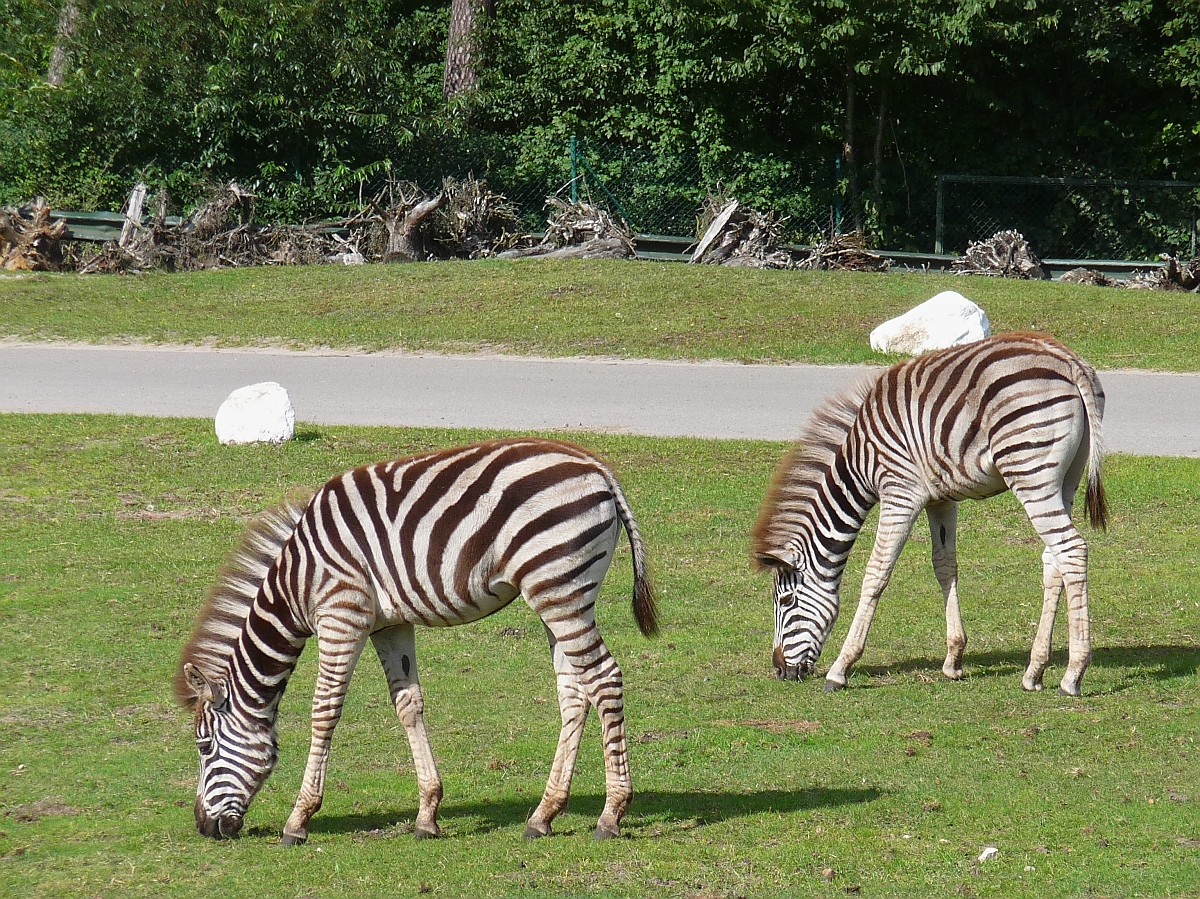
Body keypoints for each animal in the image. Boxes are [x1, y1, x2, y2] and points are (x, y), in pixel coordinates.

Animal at [175, 439, 657, 844]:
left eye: (203, 746)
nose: (203, 827)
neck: (297, 581)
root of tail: (596, 466)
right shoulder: (388, 625)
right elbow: (408, 703)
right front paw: (428, 814)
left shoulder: (341, 614)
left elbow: (324, 711)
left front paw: (299, 819)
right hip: (561, 594)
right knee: (575, 691)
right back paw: (544, 814)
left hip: (558, 587)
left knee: (605, 679)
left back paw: (612, 814)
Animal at [748, 336, 1104, 696]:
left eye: (786, 600)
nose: (780, 669)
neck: (859, 463)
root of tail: (1067, 359)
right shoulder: (941, 499)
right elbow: (944, 565)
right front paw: (954, 658)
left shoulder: (900, 491)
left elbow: (876, 572)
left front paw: (841, 668)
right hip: (1066, 478)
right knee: (1054, 558)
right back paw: (1035, 670)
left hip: (1029, 472)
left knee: (1072, 551)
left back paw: (1073, 674)